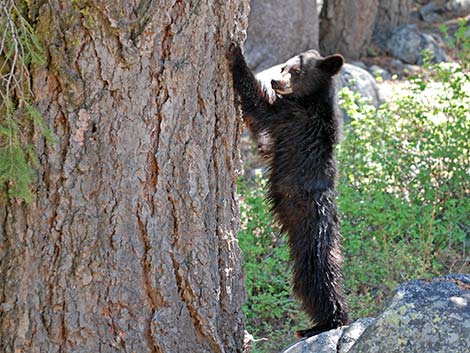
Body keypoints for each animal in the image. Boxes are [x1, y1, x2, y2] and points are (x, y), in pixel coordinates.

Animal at [229, 42, 348, 336]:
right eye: (283, 67)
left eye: (296, 71)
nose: (275, 81)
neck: (310, 99)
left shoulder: (292, 119)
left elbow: (260, 108)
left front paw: (236, 55)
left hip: (310, 246)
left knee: (317, 283)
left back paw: (323, 324)